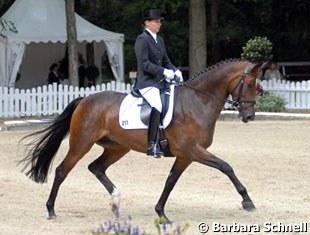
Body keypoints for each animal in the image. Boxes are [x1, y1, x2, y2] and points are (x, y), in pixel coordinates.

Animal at [21, 58, 264, 222]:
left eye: (257, 87)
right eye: (250, 84)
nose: (249, 116)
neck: (198, 101)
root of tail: (84, 100)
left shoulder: (185, 156)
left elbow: (170, 181)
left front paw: (161, 213)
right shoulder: (193, 151)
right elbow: (226, 167)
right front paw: (247, 201)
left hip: (118, 148)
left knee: (96, 167)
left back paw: (116, 202)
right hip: (81, 143)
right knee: (62, 170)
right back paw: (51, 210)